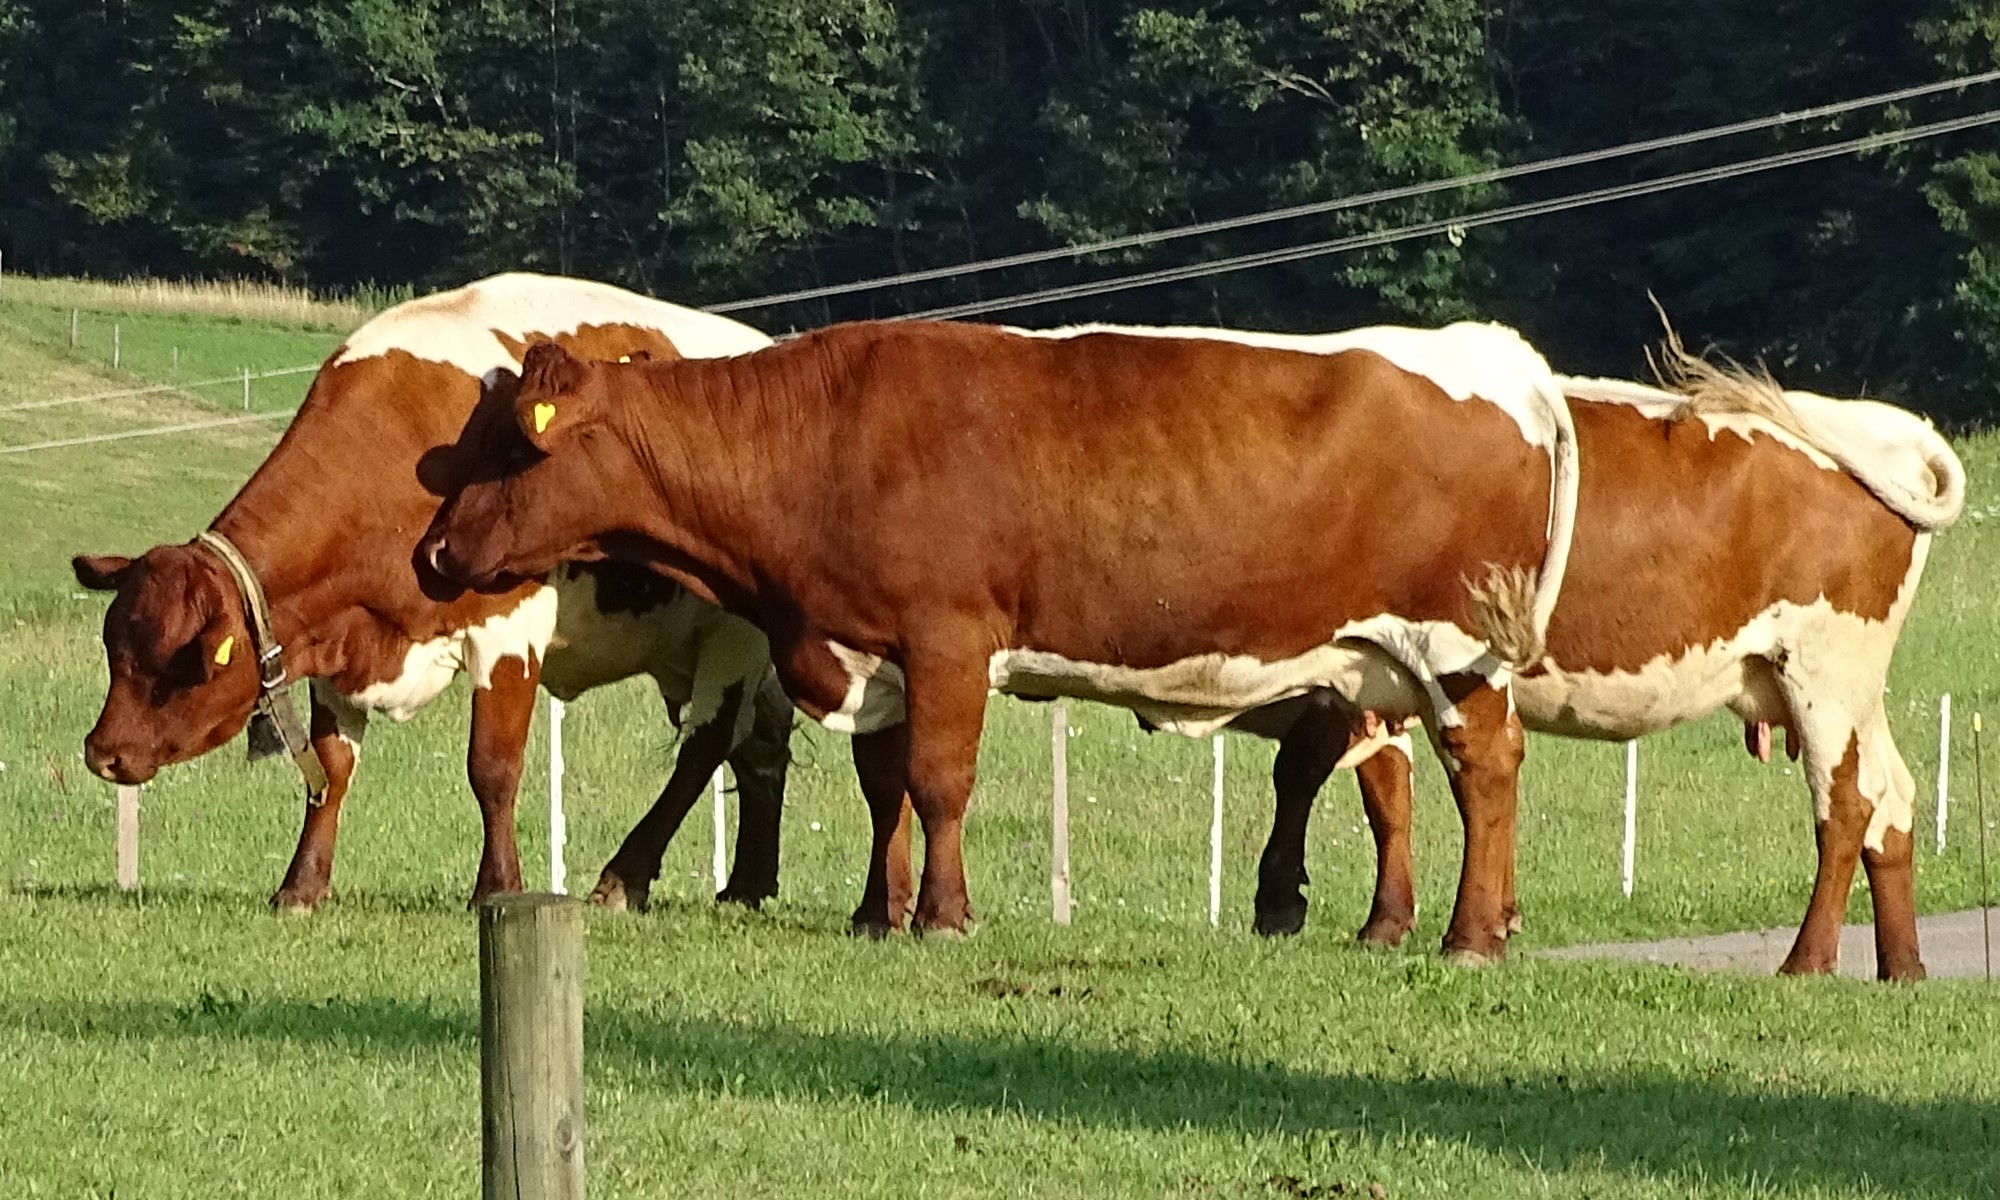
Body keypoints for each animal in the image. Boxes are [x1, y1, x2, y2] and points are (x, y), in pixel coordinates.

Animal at [78, 272, 796, 908]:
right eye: (116, 649)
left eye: (183, 666)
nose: (103, 754)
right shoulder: (337, 638)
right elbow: (331, 768)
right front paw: (301, 887)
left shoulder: (509, 629)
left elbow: (493, 768)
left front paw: (496, 887)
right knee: (760, 748)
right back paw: (746, 885)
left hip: (733, 638)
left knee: (706, 748)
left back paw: (627, 878)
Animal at [422, 318, 1576, 956]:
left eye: (508, 451)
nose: (431, 554)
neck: (819, 443)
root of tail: (1490, 351)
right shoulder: (869, 649)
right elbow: (884, 784)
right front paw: (874, 912)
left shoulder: (947, 638)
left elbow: (938, 782)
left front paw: (941, 913)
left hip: (1452, 649)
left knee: (1485, 770)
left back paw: (1470, 936)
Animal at [1256, 342, 1960, 980]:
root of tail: (1877, 423)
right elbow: (1381, 790)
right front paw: (1409, 923)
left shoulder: (1358, 670)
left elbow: (1316, 772)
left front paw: (1299, 910)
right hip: (1847, 690)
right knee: (1893, 798)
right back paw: (1903, 967)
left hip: (1823, 674)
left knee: (1847, 803)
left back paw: (1806, 963)